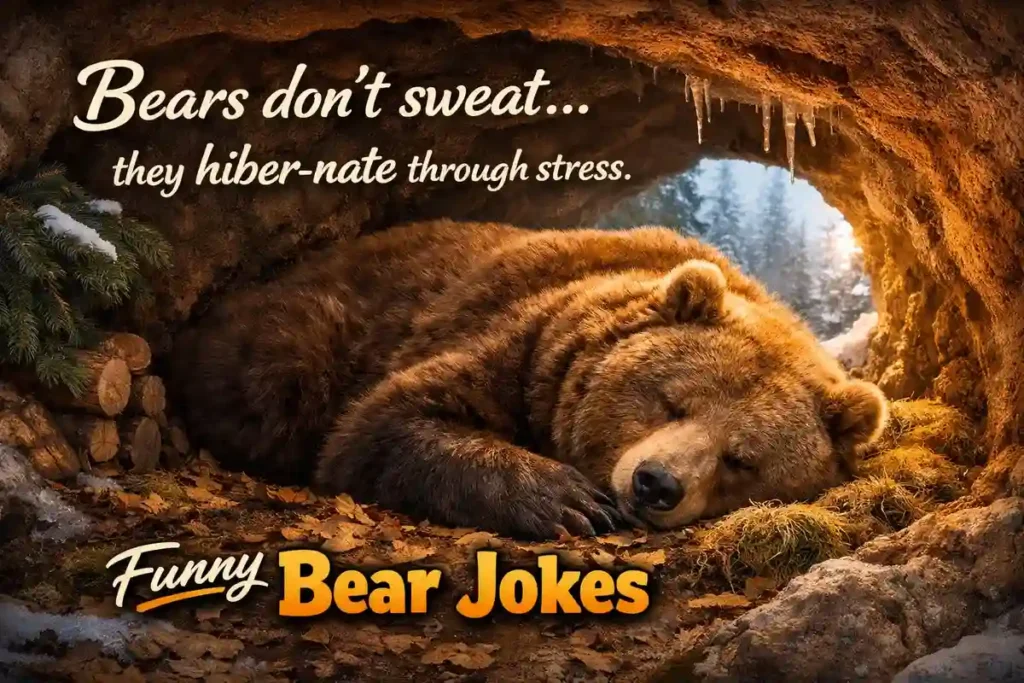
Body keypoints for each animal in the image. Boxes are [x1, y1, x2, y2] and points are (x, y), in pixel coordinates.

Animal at [171, 219, 887, 539]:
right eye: (671, 402)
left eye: (741, 458)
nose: (655, 484)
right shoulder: (515, 341)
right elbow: (388, 420)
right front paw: (567, 500)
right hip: (304, 332)